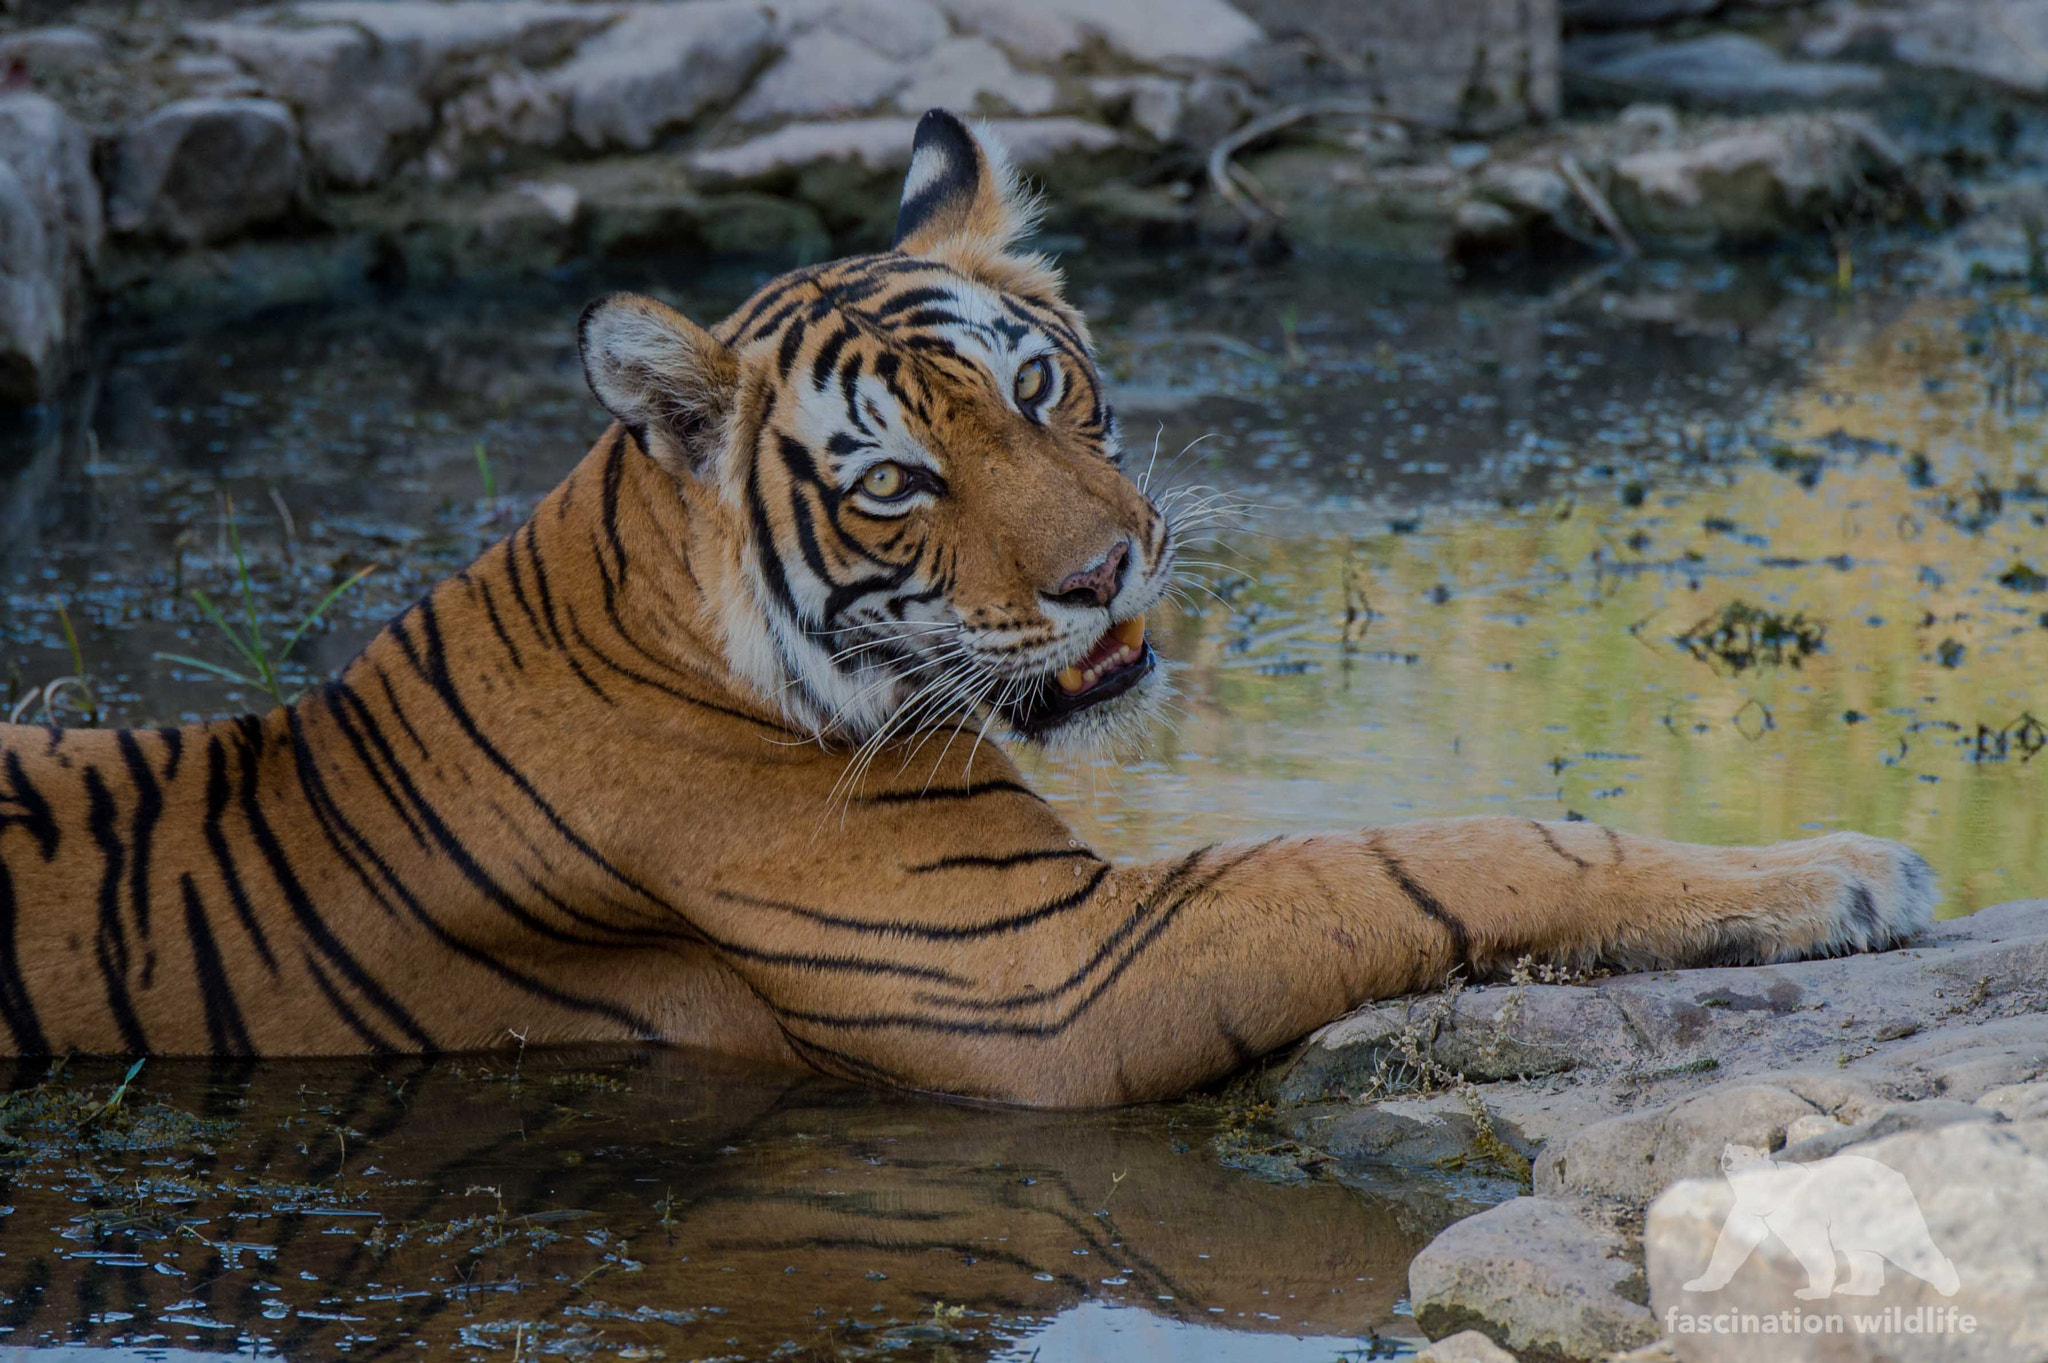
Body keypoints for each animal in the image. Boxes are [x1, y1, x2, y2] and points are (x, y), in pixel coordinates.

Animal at [0, 109, 1936, 1105]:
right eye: (892, 485)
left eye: (1036, 386)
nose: (1107, 570)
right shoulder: (1051, 972)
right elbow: (1430, 857)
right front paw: (1849, 868)